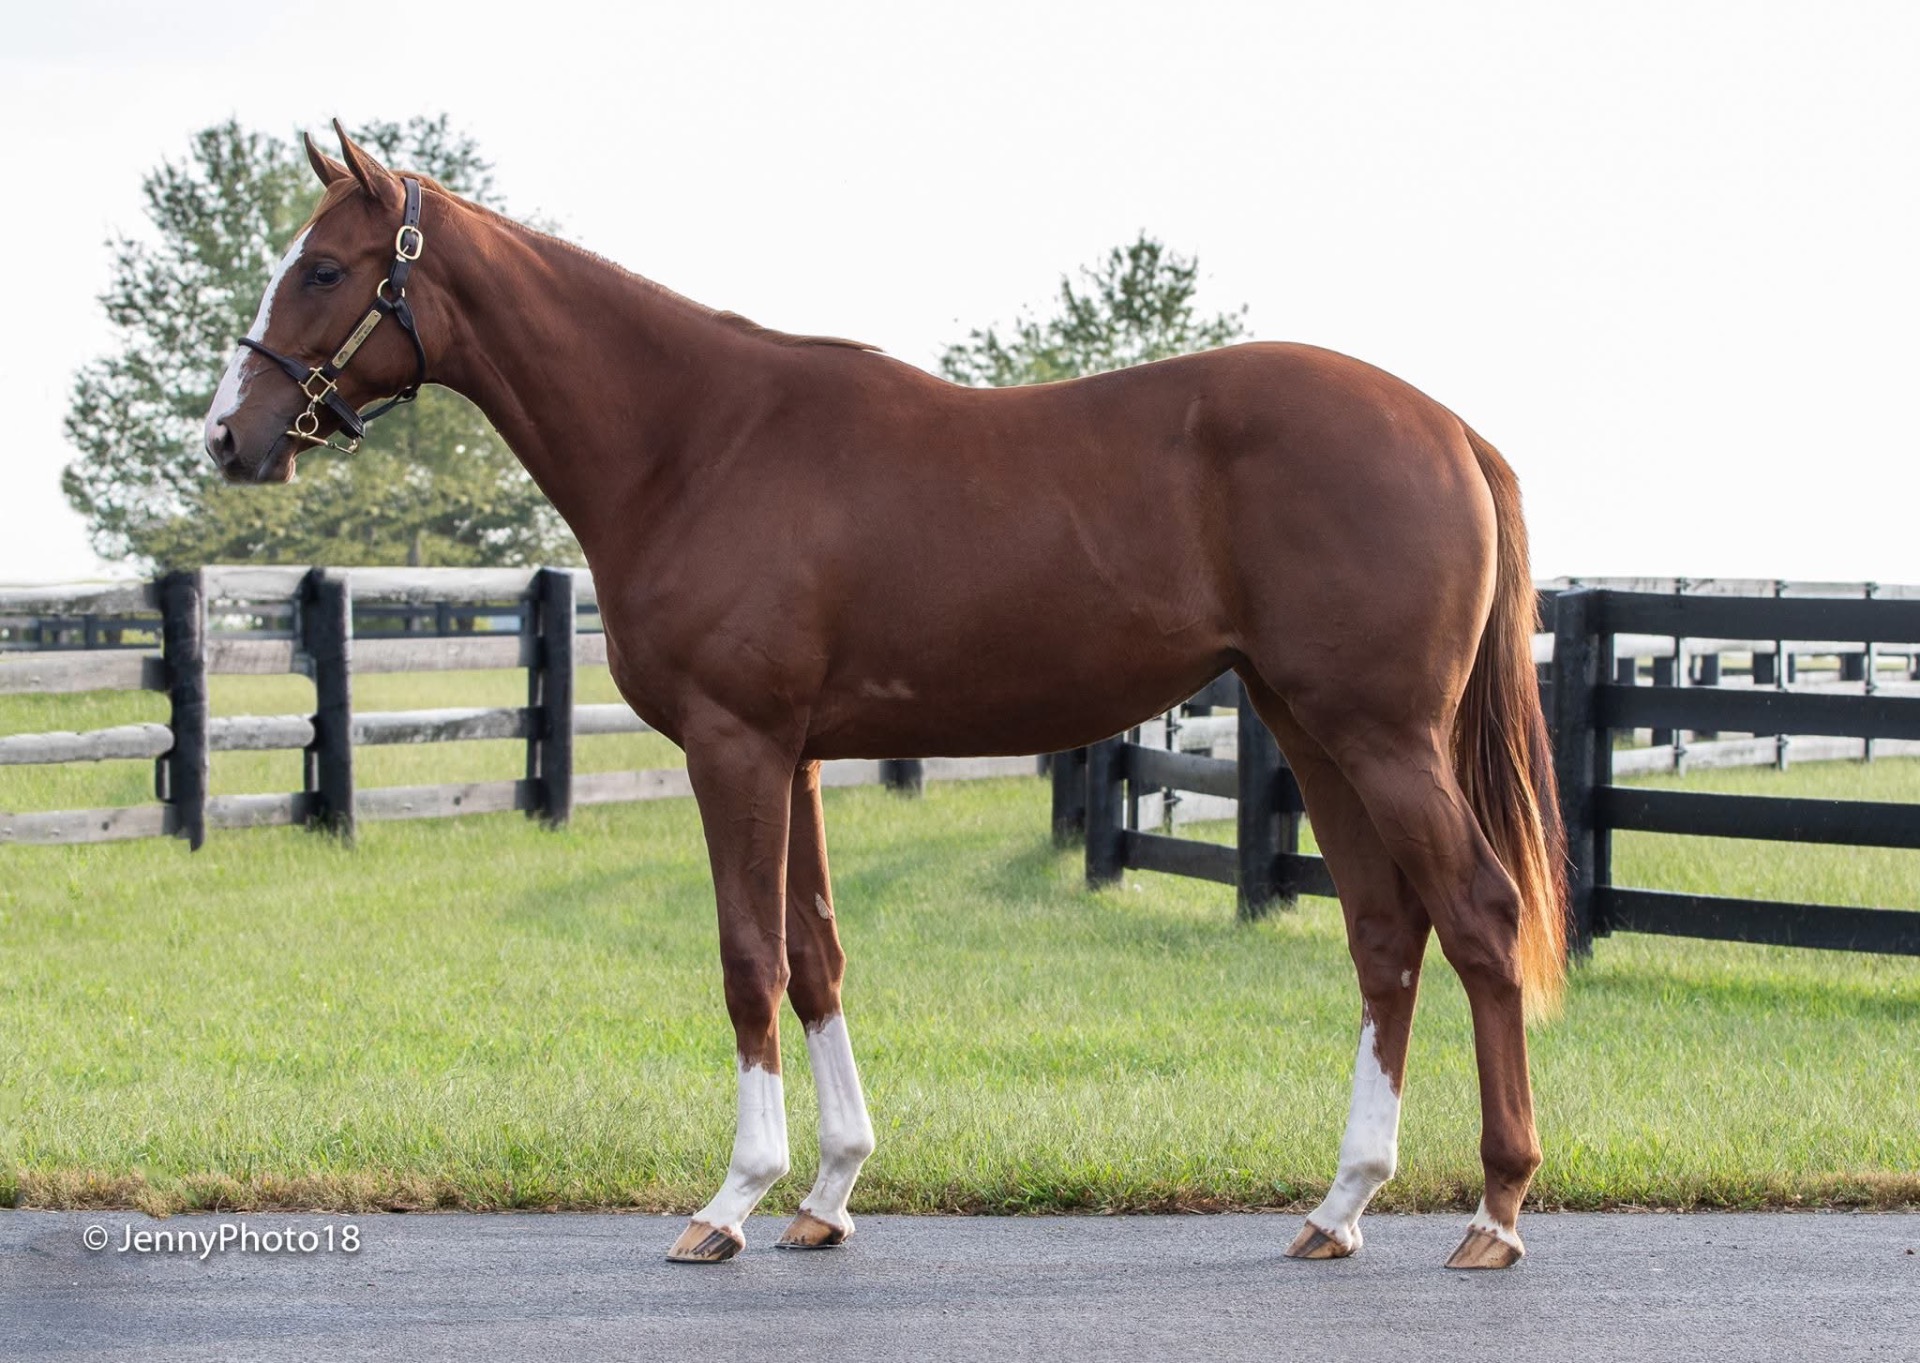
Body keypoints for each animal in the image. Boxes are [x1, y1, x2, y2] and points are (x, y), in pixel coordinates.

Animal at [203, 122, 1567, 1270]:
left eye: (324, 269)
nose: (229, 435)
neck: (696, 441)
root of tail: (1449, 429)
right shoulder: (797, 752)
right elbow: (816, 956)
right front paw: (827, 1191)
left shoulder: (735, 745)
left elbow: (748, 956)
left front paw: (730, 1200)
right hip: (1312, 727)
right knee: (1385, 934)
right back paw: (1341, 1205)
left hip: (1383, 734)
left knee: (1480, 915)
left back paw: (1495, 1211)